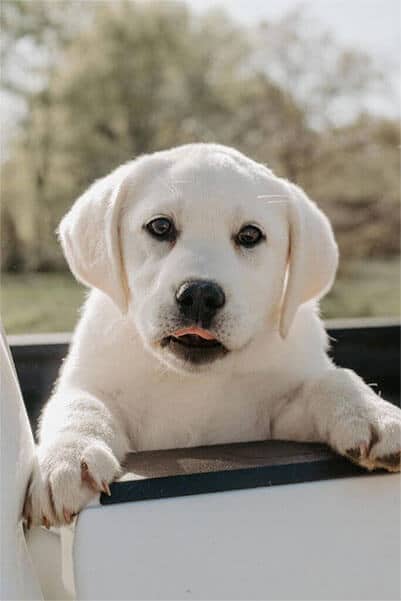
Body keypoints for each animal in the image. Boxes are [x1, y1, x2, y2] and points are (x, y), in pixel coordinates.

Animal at [24, 142, 400, 524]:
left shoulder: (279, 420)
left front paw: (371, 413)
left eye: (250, 235)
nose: (200, 295)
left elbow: (331, 380)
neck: (195, 380)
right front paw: (67, 456)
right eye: (160, 226)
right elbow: (78, 404)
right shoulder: (92, 383)